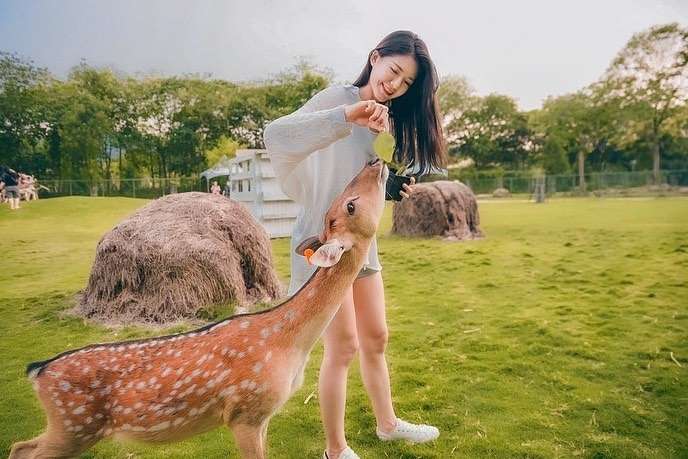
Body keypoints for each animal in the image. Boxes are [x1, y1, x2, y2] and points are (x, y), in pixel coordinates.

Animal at [10, 158, 389, 459]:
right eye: (350, 206)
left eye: (339, 203)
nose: (375, 162)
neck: (285, 343)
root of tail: (38, 371)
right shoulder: (244, 413)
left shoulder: (263, 416)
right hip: (75, 424)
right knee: (24, 449)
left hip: (71, 426)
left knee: (20, 446)